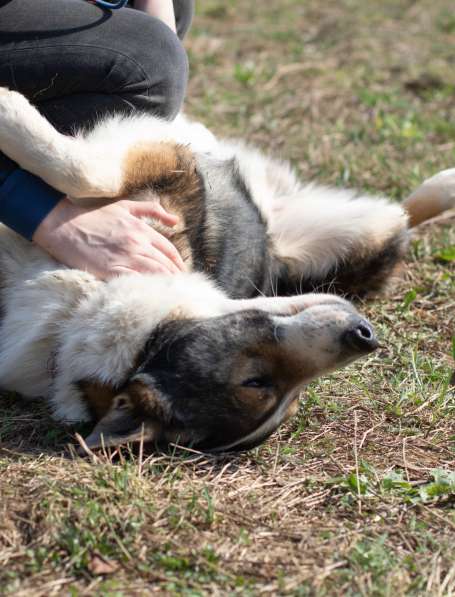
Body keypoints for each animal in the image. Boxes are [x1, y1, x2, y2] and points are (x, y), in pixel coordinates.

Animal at [0, 88, 452, 450]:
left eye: (286, 397)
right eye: (256, 381)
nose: (365, 336)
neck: (76, 312)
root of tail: (272, 240)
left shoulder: (168, 163)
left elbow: (87, 173)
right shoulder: (168, 166)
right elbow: (86, 174)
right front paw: (9, 108)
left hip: (359, 236)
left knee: (404, 215)